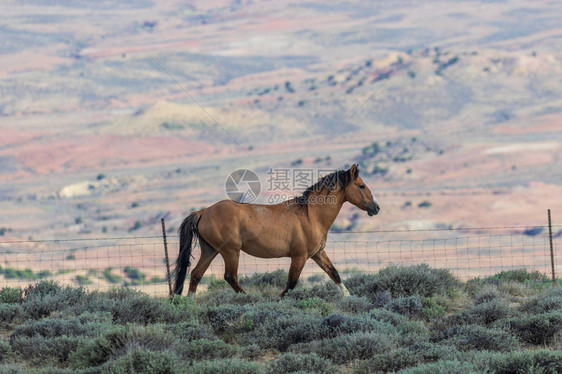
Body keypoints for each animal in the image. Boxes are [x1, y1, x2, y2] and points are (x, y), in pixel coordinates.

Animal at [173, 164, 378, 298]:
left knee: (196, 275)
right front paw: (278, 301)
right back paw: (250, 300)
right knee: (230, 277)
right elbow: (291, 283)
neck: (311, 215)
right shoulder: (299, 256)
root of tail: (203, 212)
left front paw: (349, 297)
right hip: (230, 251)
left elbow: (334, 274)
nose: (376, 208)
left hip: (210, 250)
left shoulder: (317, 254)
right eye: (361, 185)